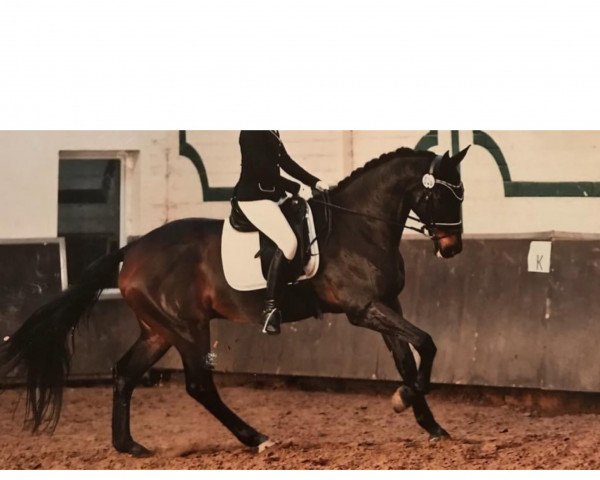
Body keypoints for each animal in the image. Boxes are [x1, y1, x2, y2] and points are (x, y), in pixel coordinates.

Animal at [0, 145, 468, 454]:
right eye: (444, 194)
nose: (452, 249)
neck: (359, 227)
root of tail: (130, 250)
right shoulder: (363, 308)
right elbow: (427, 343)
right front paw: (404, 400)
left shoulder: (387, 304)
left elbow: (408, 358)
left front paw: (429, 422)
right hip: (187, 328)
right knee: (199, 385)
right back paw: (256, 438)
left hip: (159, 331)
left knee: (124, 373)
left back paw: (128, 445)